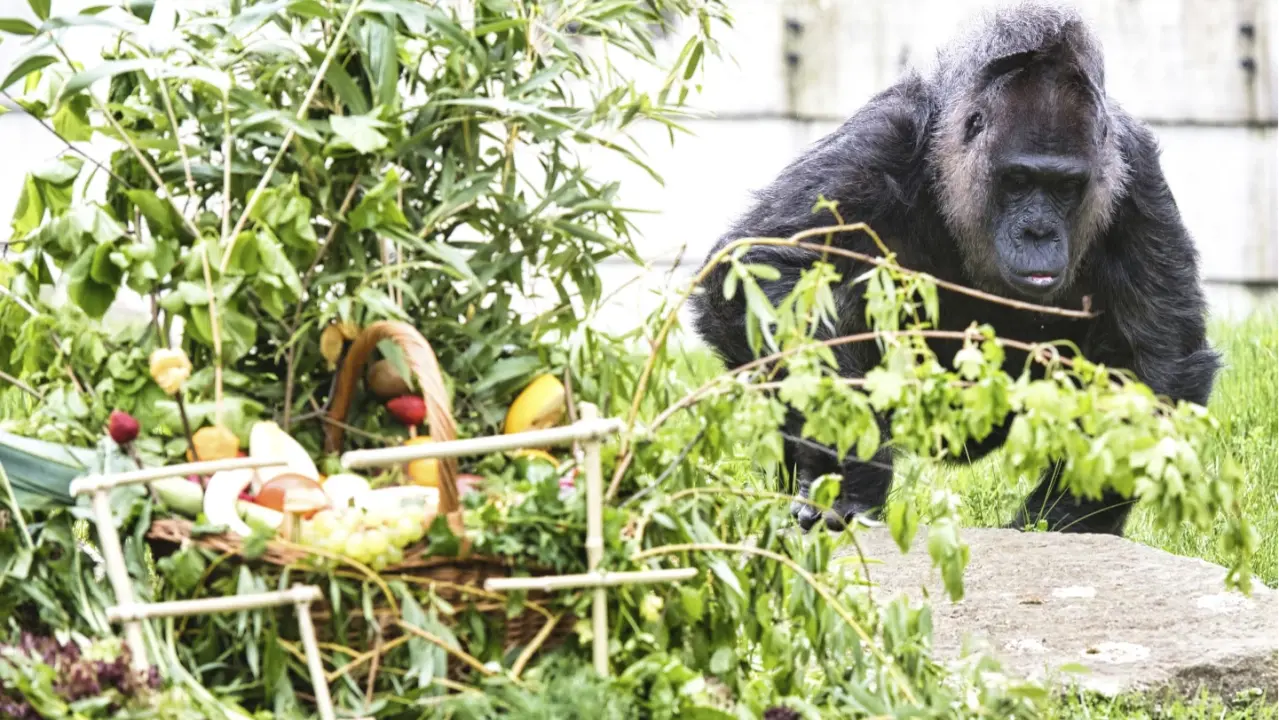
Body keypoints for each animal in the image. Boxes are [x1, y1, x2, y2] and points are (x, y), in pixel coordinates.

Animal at [687, 1, 1220, 536]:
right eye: (1018, 181)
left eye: (1066, 187)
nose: (1038, 234)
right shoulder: (879, 139)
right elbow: (764, 268)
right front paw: (850, 465)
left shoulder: (1135, 172)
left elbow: (1155, 357)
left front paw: (1068, 519)